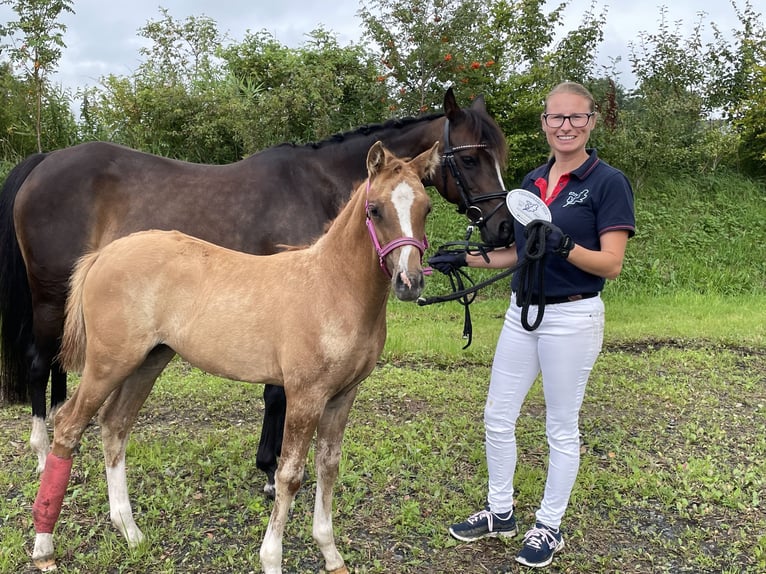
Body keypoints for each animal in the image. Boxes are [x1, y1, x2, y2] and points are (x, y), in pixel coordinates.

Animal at [0, 89, 512, 496]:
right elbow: (276, 397)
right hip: (50, 296)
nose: (505, 228)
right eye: (470, 159)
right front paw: (269, 471)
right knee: (40, 365)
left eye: (499, 157)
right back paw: (45, 456)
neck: (317, 184)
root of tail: (45, 162)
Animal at [31, 141, 438, 574]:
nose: (410, 282)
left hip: (148, 361)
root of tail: (103, 254)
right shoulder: (305, 395)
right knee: (69, 425)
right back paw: (44, 546)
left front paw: (331, 555)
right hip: (108, 363)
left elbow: (328, 467)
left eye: (426, 208)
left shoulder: (342, 397)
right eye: (375, 209)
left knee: (114, 426)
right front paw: (272, 559)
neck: (331, 285)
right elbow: (290, 475)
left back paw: (130, 531)